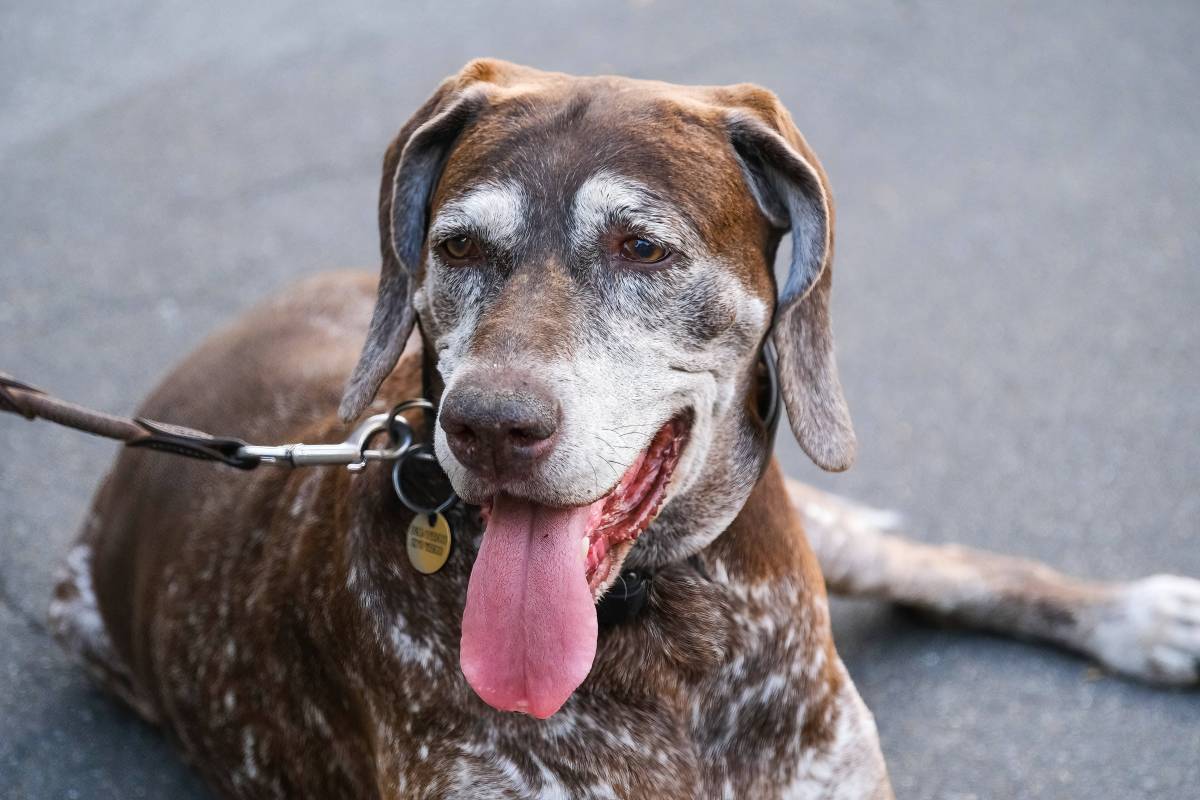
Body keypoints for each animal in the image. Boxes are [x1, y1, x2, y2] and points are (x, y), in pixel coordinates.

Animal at [46, 62, 1200, 800]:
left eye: (641, 246)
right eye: (458, 247)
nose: (488, 425)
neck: (666, 626)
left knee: (934, 563)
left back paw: (1141, 619)